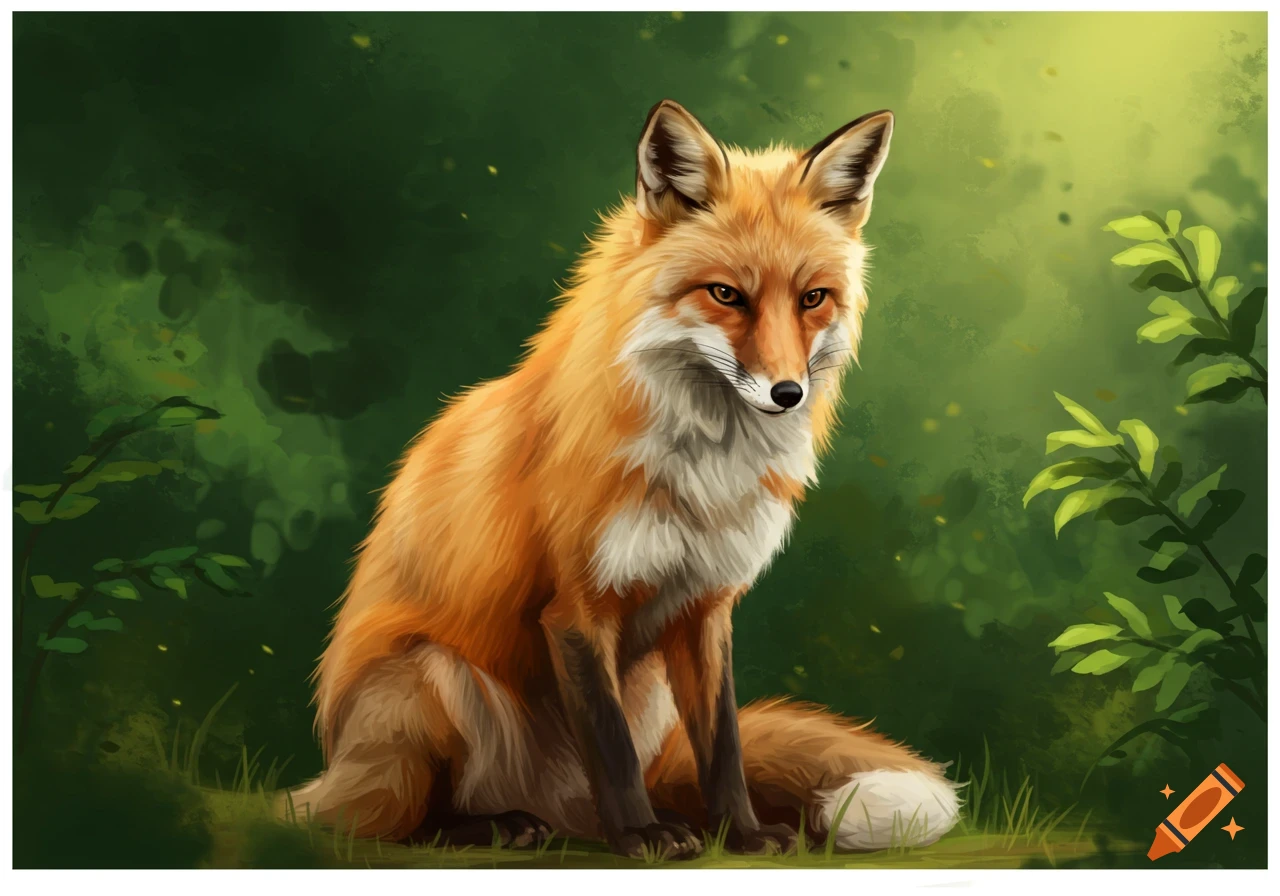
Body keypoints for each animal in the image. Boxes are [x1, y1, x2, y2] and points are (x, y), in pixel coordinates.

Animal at [283, 100, 961, 859]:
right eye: (726, 295)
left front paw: (741, 833)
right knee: (388, 823)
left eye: (813, 298)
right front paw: (641, 836)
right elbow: (608, 745)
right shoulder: (576, 609)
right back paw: (500, 826)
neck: (701, 475)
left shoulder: (707, 608)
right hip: (430, 677)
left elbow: (723, 745)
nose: (787, 393)